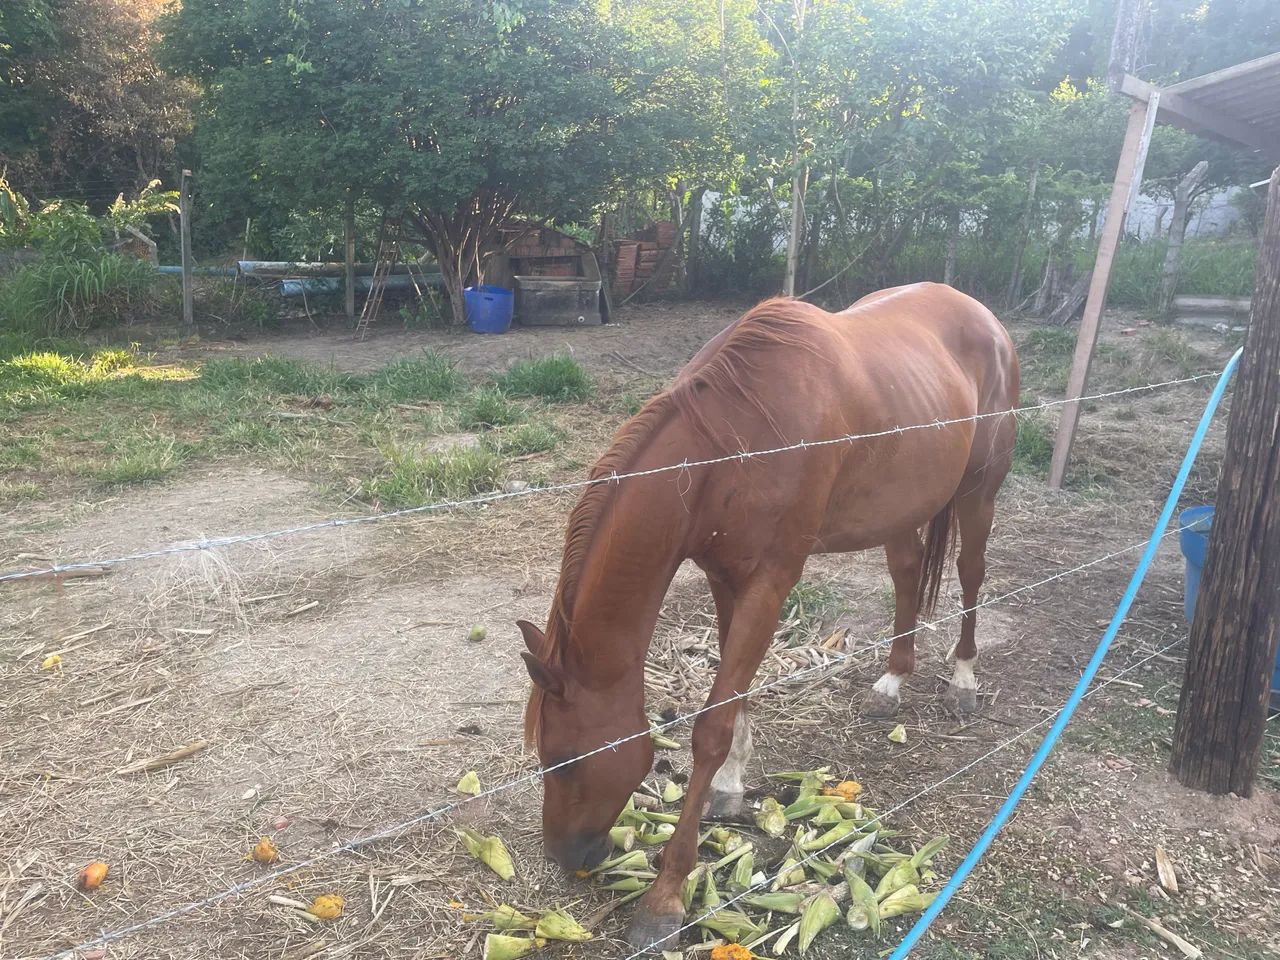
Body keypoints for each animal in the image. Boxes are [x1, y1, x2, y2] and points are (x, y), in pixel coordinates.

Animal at [516, 282, 1020, 950]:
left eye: (565, 760)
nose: (562, 856)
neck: (731, 445)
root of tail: (984, 317)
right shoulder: (726, 578)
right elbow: (735, 699)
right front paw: (730, 787)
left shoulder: (772, 581)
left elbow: (710, 725)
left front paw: (665, 897)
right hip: (901, 504)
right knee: (908, 572)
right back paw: (892, 681)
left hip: (978, 491)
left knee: (969, 574)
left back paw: (963, 678)